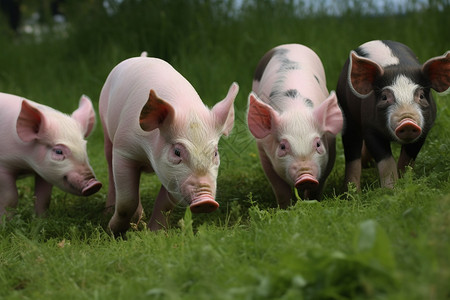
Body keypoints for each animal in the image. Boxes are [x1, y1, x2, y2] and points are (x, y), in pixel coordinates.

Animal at [338, 40, 450, 189]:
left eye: (421, 96)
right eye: (385, 97)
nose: (407, 122)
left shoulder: (424, 130)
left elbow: (407, 159)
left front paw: (405, 184)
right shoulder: (370, 128)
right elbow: (386, 161)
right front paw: (391, 189)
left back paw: (367, 165)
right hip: (346, 113)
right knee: (352, 152)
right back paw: (353, 192)